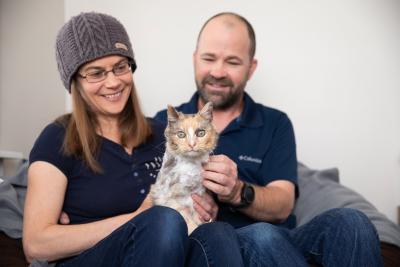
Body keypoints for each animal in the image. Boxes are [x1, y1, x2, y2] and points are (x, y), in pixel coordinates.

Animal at [151, 102, 219, 234]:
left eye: (201, 133)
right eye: (181, 134)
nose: (192, 144)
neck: (190, 164)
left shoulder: (198, 193)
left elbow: (197, 216)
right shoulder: (167, 197)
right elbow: (185, 218)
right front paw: (193, 229)